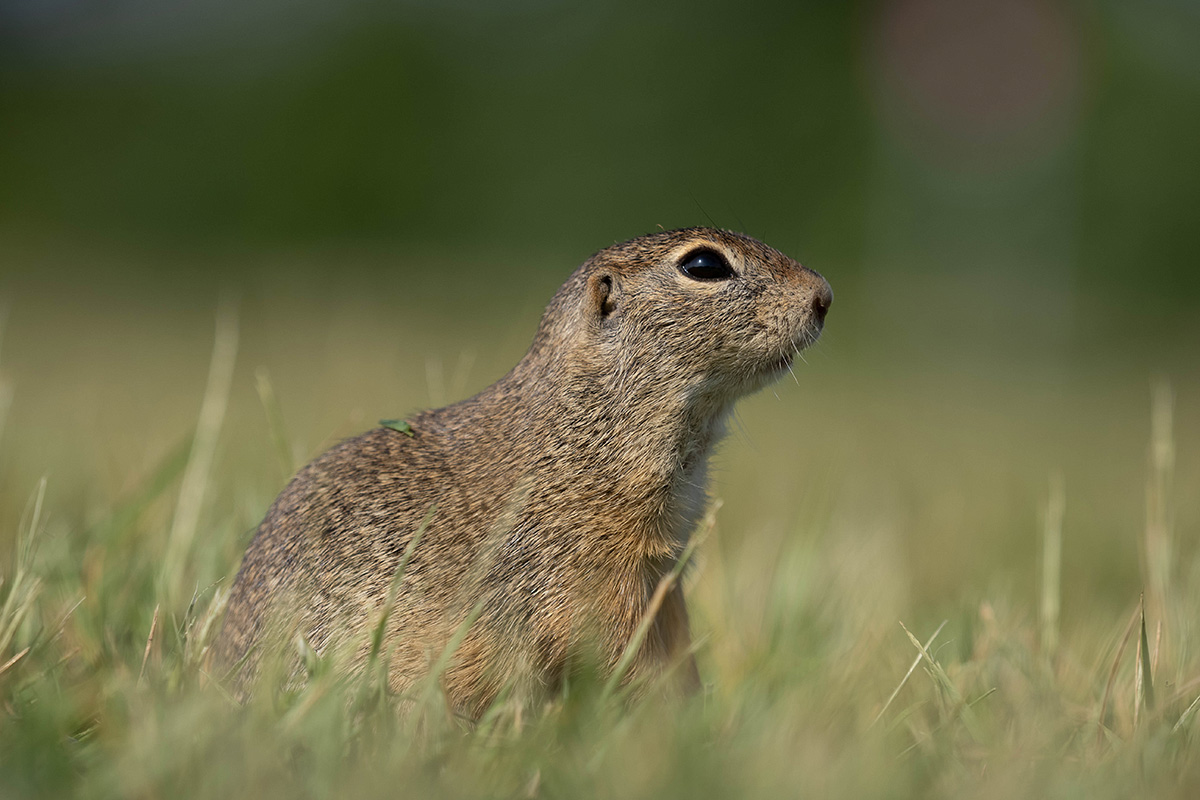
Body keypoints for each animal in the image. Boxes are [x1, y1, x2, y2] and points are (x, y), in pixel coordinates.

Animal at [213, 226, 835, 719]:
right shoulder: (590, 578)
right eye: (704, 265)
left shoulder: (663, 577)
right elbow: (617, 654)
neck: (587, 430)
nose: (825, 295)